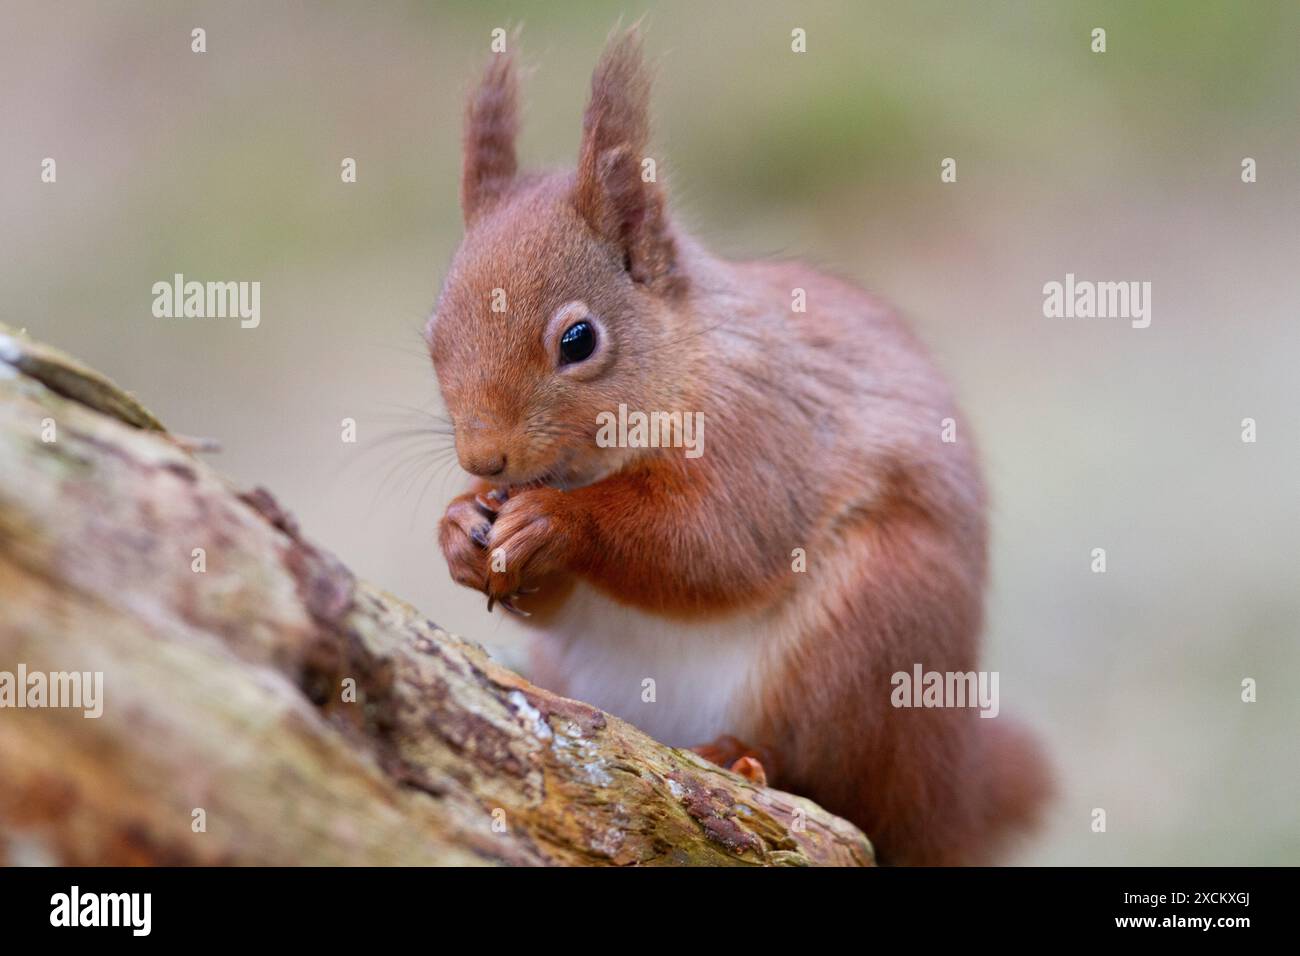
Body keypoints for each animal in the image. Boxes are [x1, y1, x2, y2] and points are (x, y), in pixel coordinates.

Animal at [431, 31, 1050, 868]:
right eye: (432, 334)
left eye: (578, 340)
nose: (484, 461)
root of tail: (948, 791)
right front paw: (460, 526)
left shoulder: (764, 429)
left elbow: (716, 543)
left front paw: (558, 523)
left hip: (873, 629)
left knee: (834, 774)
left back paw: (742, 756)